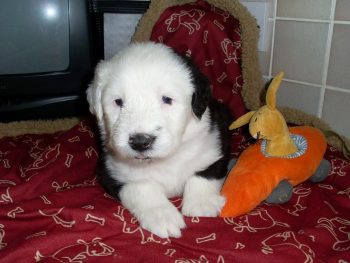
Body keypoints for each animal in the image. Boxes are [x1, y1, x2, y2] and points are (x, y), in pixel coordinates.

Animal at [86, 41, 232, 239]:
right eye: (118, 101)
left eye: (167, 99)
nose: (140, 142)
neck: (164, 159)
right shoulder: (111, 171)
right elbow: (142, 188)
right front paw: (163, 216)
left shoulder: (216, 146)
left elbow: (204, 174)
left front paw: (201, 204)